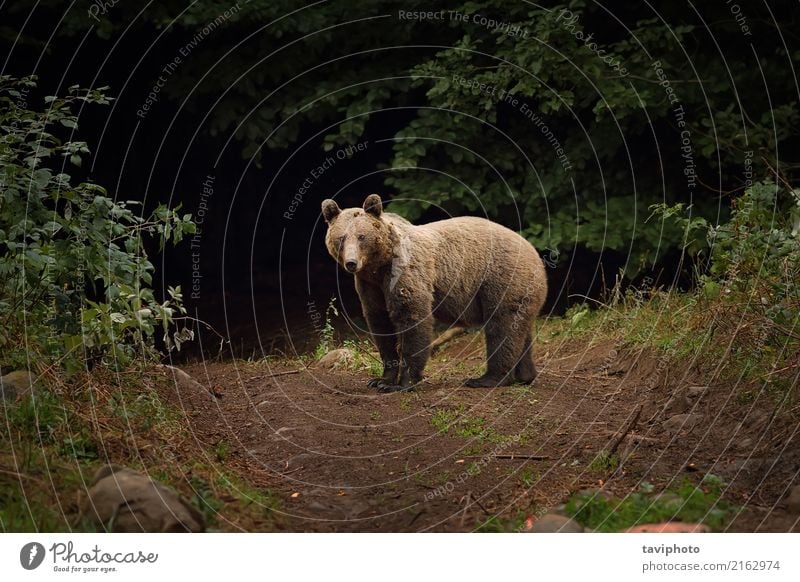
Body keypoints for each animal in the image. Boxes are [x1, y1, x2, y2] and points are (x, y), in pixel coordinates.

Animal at [322, 195, 548, 392]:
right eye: (341, 238)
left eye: (361, 237)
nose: (351, 263)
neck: (379, 265)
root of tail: (535, 254)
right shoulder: (370, 285)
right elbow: (380, 322)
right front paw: (380, 380)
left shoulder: (405, 272)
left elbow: (412, 317)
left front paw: (401, 383)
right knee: (519, 329)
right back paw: (525, 375)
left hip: (501, 279)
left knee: (501, 327)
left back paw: (486, 379)